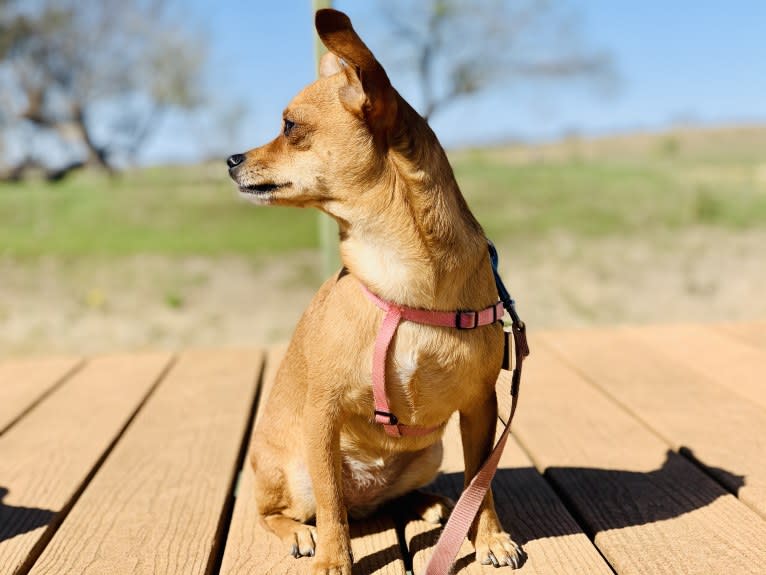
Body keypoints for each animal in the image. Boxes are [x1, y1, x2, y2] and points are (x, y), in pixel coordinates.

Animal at [228, 9, 524, 575]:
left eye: (289, 127)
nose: (230, 158)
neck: (402, 274)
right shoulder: (322, 415)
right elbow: (331, 506)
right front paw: (334, 559)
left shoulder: (480, 407)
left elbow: (482, 482)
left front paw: (491, 537)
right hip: (291, 471)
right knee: (287, 510)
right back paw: (301, 533)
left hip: (429, 453)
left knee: (395, 499)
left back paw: (430, 503)